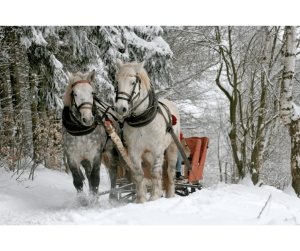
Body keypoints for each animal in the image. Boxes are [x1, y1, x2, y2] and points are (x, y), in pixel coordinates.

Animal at [114, 57, 180, 203]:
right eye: (117, 82)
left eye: (133, 82)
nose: (120, 108)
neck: (142, 119)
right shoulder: (134, 151)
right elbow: (139, 175)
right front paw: (141, 199)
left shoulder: (158, 149)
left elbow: (155, 173)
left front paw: (154, 197)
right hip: (148, 154)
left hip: (172, 147)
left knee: (170, 172)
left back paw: (170, 195)